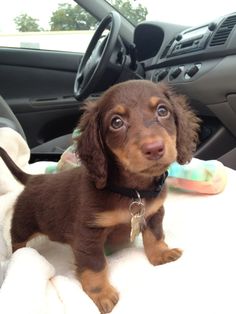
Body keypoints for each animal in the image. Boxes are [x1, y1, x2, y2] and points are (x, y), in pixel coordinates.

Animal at [0, 79, 200, 312]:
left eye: (162, 111)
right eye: (116, 122)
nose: (154, 148)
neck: (131, 191)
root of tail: (34, 179)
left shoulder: (153, 213)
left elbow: (155, 235)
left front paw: (160, 254)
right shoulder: (88, 233)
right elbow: (95, 265)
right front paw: (101, 293)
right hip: (23, 224)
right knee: (17, 242)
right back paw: (18, 256)